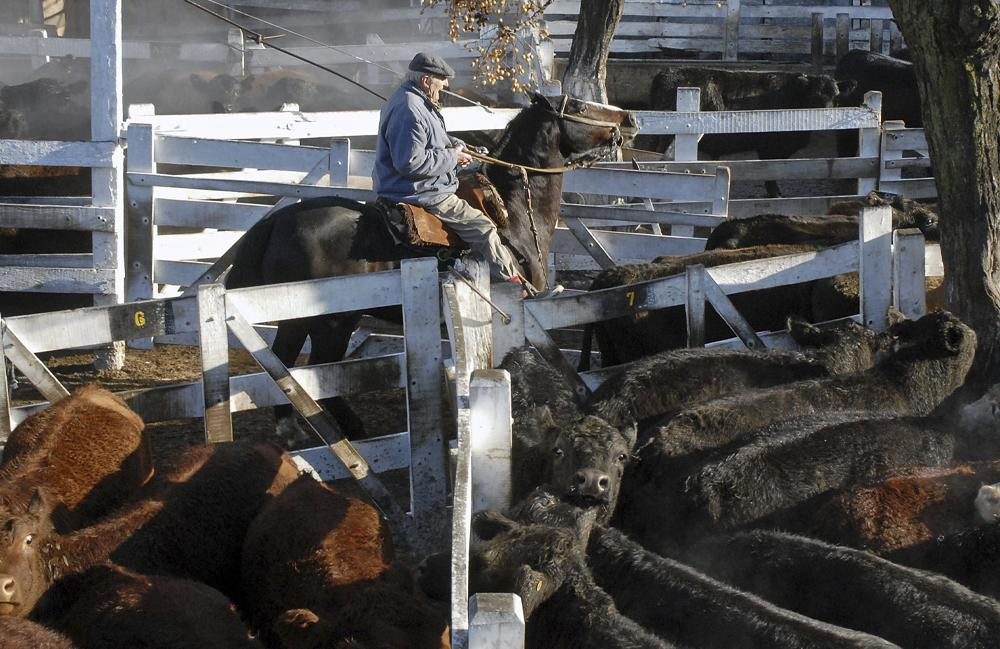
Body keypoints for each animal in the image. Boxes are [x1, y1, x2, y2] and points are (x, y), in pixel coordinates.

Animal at [225, 93, 632, 438]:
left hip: (298, 318)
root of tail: (276, 222)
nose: (628, 119)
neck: (509, 209)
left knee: (287, 362)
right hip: (330, 322)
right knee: (315, 370)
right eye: (577, 105)